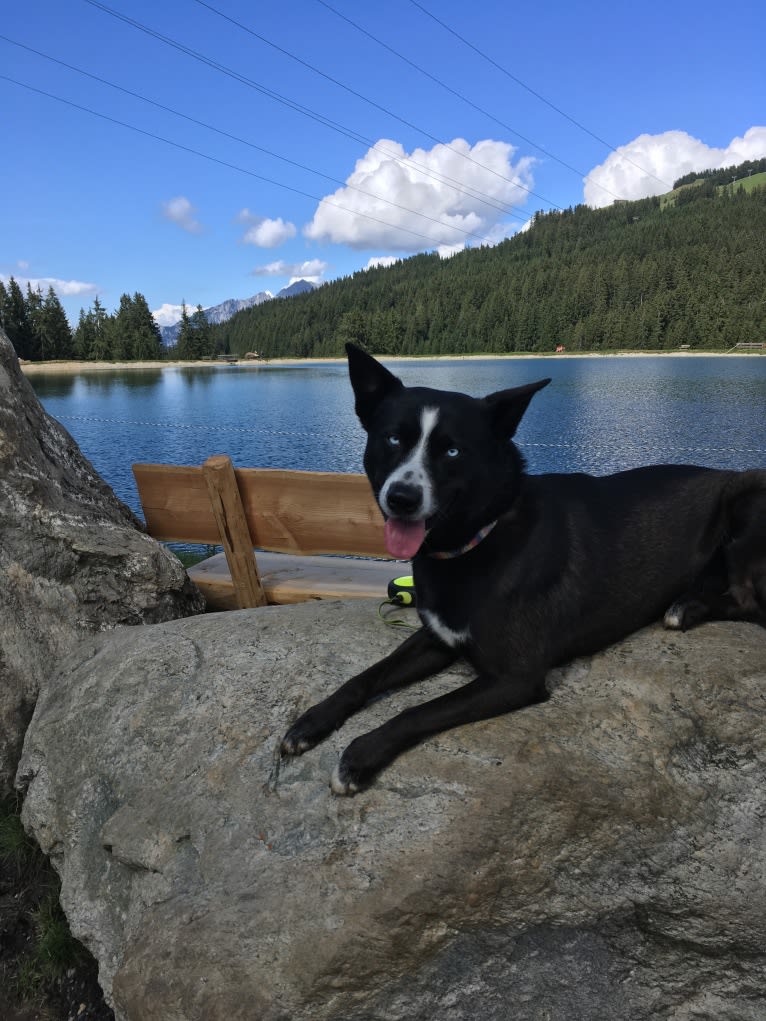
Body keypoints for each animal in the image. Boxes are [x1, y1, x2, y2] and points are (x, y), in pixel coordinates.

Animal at [283, 347, 766, 792]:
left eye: (453, 450)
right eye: (392, 440)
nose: (401, 498)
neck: (478, 540)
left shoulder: (516, 677)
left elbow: (416, 710)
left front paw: (359, 755)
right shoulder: (437, 640)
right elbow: (366, 676)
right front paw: (311, 721)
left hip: (747, 501)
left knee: (749, 602)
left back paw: (684, 609)